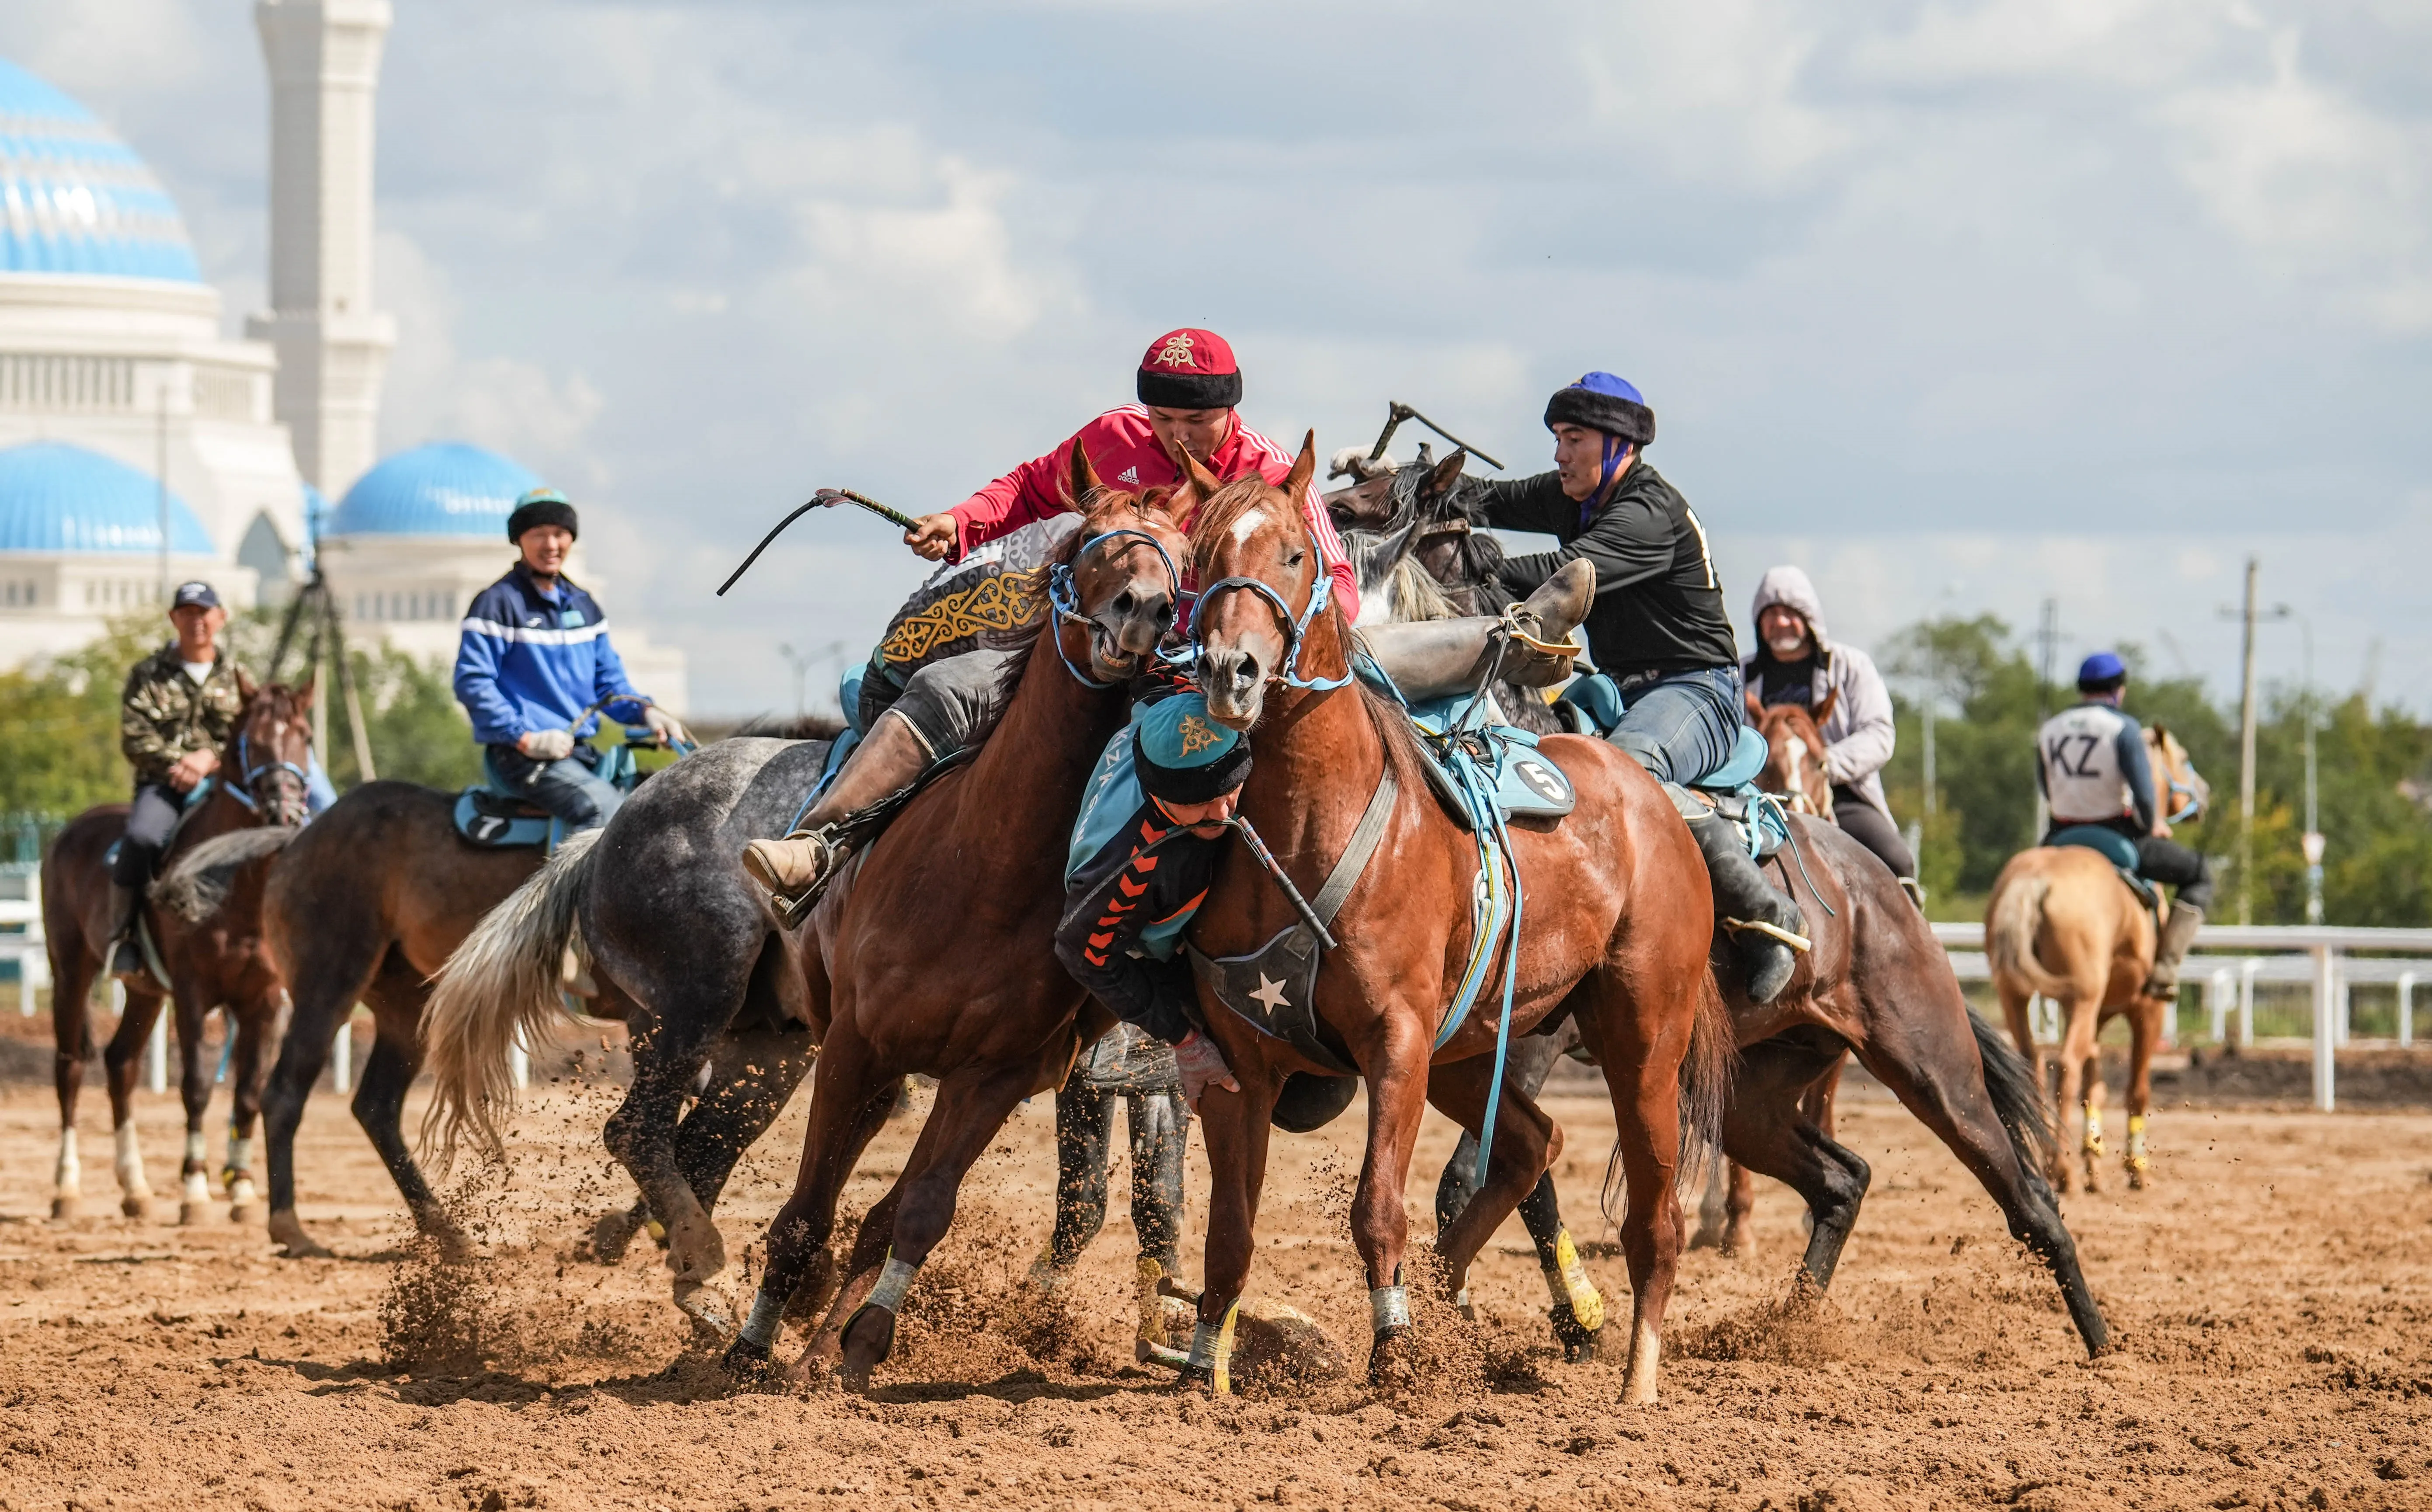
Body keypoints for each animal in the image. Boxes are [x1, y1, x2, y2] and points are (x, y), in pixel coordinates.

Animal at [40, 685, 318, 1235]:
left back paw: (136, 1189)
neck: (236, 887)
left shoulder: (264, 1002)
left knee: (121, 1064)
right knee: (71, 1068)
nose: (284, 810)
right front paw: (195, 1191)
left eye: (306, 736)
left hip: (144, 992)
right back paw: (66, 1189)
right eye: (251, 743)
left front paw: (243, 1191)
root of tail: (67, 833)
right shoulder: (193, 995)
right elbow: (195, 1087)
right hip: (70, 972)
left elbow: (248, 1093)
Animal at [1182, 437, 1722, 1410]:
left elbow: (1374, 1207)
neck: (1313, 819)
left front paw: (1394, 1352)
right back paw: (1453, 1297)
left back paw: (1636, 1380)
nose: (1228, 669)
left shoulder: (1394, 1041)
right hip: (1474, 1052)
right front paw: (1208, 1366)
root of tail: (1654, 799)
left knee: (1654, 1219)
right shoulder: (1241, 1059)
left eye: (1294, 553)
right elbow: (1230, 1226)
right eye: (1203, 557)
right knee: (1531, 1144)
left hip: (1641, 1042)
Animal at [1984, 724, 2218, 1196]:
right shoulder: (2144, 1010)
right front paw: (2135, 1167)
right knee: (2066, 1066)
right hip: (2083, 998)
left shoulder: (2094, 1014)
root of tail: (2034, 879)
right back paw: (2062, 1170)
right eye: (2182, 758)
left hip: (2016, 995)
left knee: (2033, 1064)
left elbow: (2095, 1085)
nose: (2203, 793)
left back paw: (2047, 1161)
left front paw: (2094, 1159)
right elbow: (2134, 1088)